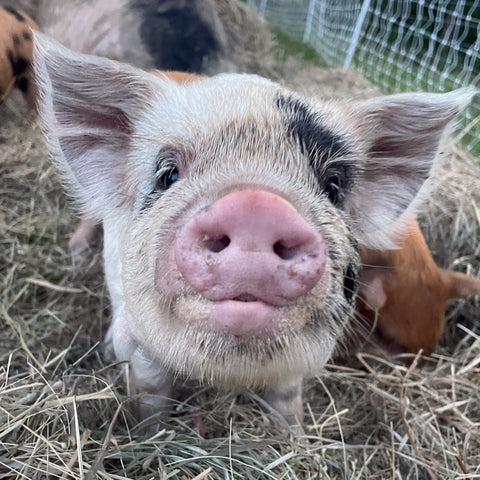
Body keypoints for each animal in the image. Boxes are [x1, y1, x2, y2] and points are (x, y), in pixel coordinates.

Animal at [33, 34, 476, 424]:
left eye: (332, 187)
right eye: (168, 174)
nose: (256, 208)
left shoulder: (297, 367)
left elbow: (286, 404)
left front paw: (294, 442)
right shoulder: (140, 345)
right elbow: (152, 394)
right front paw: (146, 433)